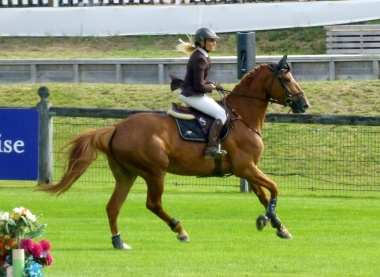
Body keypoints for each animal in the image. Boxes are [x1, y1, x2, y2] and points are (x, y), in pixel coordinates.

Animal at [38, 54, 308, 248]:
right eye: (286, 79)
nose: (304, 104)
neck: (242, 116)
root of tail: (116, 128)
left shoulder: (247, 170)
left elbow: (264, 196)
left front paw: (278, 226)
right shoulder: (246, 167)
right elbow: (274, 188)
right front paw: (266, 220)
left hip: (126, 175)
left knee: (113, 207)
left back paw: (119, 241)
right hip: (155, 172)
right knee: (153, 203)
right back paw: (180, 230)